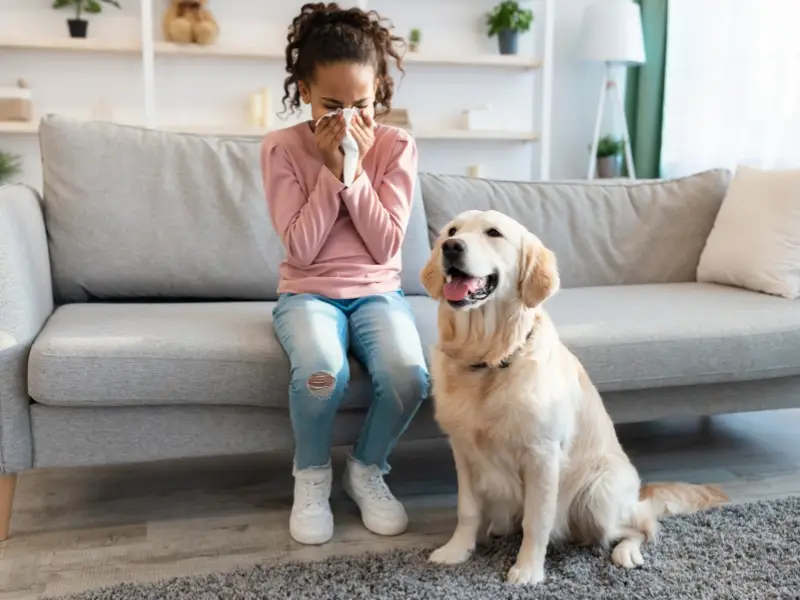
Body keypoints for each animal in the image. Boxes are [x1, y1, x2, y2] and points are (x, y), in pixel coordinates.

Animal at [422, 210, 728, 584]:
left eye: (493, 233)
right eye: (451, 231)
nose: (451, 247)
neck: (489, 359)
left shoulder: (542, 455)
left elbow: (536, 520)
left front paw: (527, 569)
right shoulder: (464, 450)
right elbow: (467, 509)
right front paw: (457, 550)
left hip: (597, 496)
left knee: (642, 524)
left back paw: (626, 551)